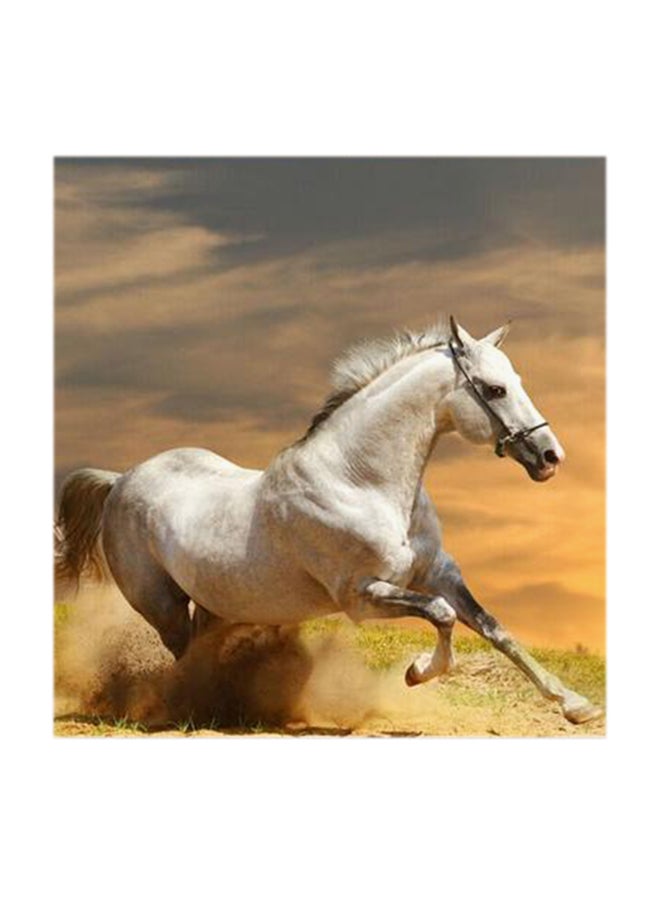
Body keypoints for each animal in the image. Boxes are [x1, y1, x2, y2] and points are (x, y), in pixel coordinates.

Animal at [55, 316, 603, 724]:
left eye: (517, 382)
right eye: (493, 390)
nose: (551, 456)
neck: (361, 481)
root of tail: (121, 479)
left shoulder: (439, 573)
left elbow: (494, 628)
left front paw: (577, 706)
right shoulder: (362, 596)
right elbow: (443, 616)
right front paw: (416, 672)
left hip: (218, 602)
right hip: (161, 604)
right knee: (181, 652)